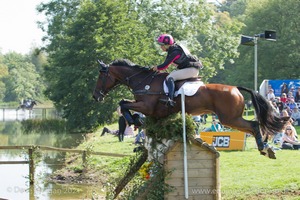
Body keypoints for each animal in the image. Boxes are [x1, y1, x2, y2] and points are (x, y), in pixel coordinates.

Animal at [92, 58, 290, 159]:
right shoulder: (151, 110)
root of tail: (235, 88)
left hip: (229, 118)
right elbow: (124, 103)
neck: (144, 81)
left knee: (254, 125)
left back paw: (263, 148)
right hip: (231, 119)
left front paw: (134, 120)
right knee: (255, 126)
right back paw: (267, 148)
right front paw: (136, 120)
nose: (96, 96)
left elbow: (123, 103)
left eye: (101, 76)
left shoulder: (147, 106)